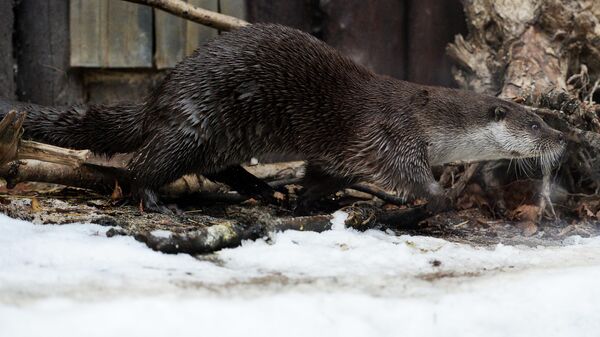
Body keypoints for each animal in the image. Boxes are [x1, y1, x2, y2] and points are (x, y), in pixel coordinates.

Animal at [0, 24, 564, 213]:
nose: (561, 136)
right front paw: (440, 196)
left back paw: (260, 190)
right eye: (534, 123)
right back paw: (156, 201)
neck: (428, 119)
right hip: (195, 119)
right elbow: (403, 171)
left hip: (217, 132)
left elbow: (324, 173)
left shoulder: (342, 154)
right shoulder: (389, 134)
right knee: (146, 164)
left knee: (213, 165)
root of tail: (160, 94)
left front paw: (303, 202)